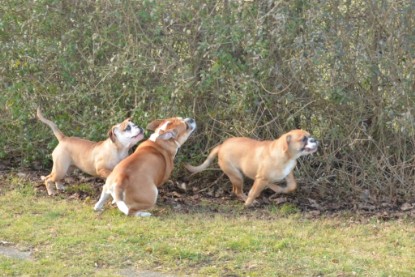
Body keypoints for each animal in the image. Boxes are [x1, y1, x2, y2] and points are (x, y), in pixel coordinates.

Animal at [185, 129, 318, 205]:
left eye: (310, 136)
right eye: (303, 139)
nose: (315, 139)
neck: (287, 155)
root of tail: (221, 146)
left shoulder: (287, 174)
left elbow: (292, 186)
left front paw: (278, 188)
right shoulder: (261, 178)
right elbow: (253, 192)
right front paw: (249, 203)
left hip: (237, 176)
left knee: (235, 190)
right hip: (237, 176)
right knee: (238, 191)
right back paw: (247, 200)